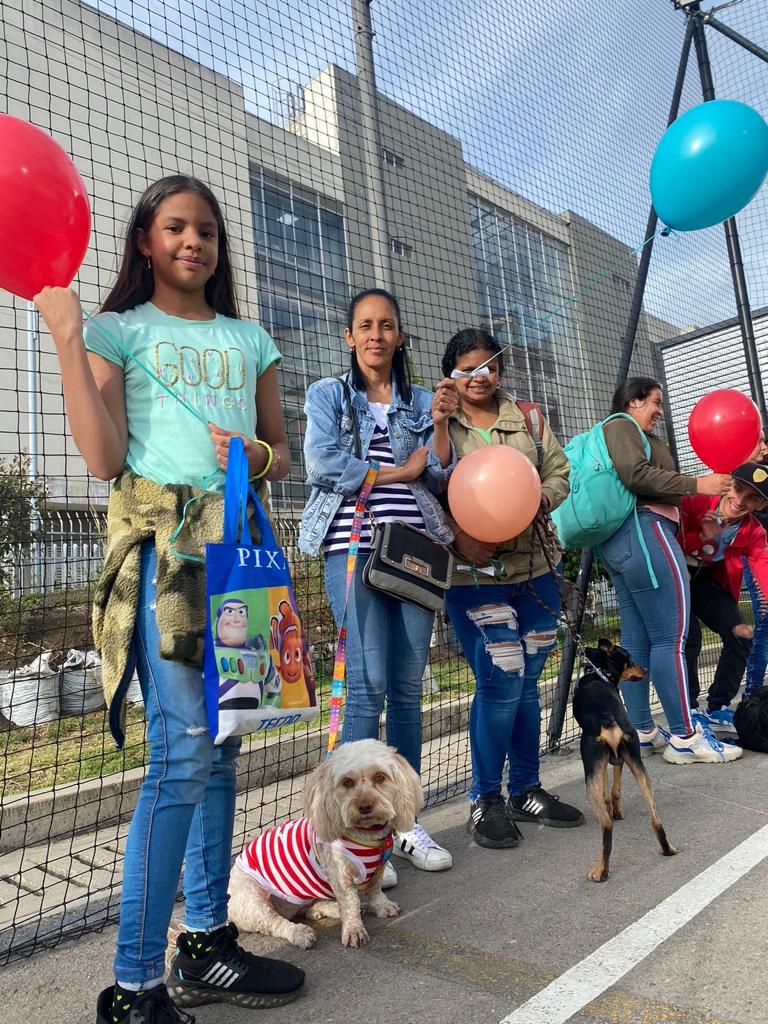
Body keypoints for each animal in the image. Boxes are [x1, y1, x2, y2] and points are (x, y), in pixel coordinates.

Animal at [228, 738, 423, 948]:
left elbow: (375, 890)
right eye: (347, 782)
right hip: (252, 900)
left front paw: (382, 906)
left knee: (309, 909)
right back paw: (300, 933)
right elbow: (349, 903)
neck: (368, 834)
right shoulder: (341, 877)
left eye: (380, 777)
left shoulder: (377, 870)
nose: (364, 806)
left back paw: (326, 909)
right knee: (274, 922)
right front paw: (353, 930)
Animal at [572, 639, 676, 882]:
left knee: (606, 824)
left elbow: (607, 791)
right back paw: (667, 849)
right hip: (639, 765)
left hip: (590, 769)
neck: (599, 671)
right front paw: (617, 809)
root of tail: (608, 718)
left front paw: (614, 810)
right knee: (655, 817)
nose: (645, 669)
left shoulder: (602, 764)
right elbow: (615, 789)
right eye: (629, 659)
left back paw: (600, 871)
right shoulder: (618, 759)